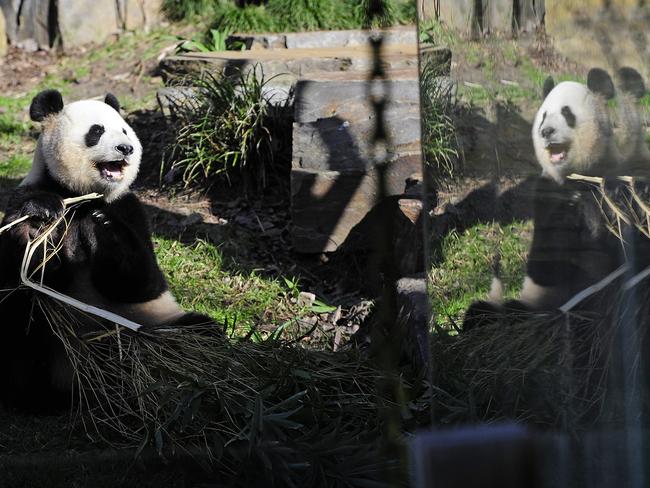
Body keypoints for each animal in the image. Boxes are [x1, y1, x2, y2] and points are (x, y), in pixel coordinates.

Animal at [0, 89, 215, 410]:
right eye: (97, 131)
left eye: (125, 130)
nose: (126, 148)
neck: (81, 198)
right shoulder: (23, 196)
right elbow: (23, 275)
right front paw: (38, 223)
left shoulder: (130, 208)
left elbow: (144, 282)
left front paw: (103, 227)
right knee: (21, 322)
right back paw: (38, 397)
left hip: (154, 320)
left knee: (200, 333)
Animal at [464, 68, 620, 330]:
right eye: (544, 115)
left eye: (567, 114)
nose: (545, 132)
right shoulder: (545, 193)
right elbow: (544, 265)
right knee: (488, 311)